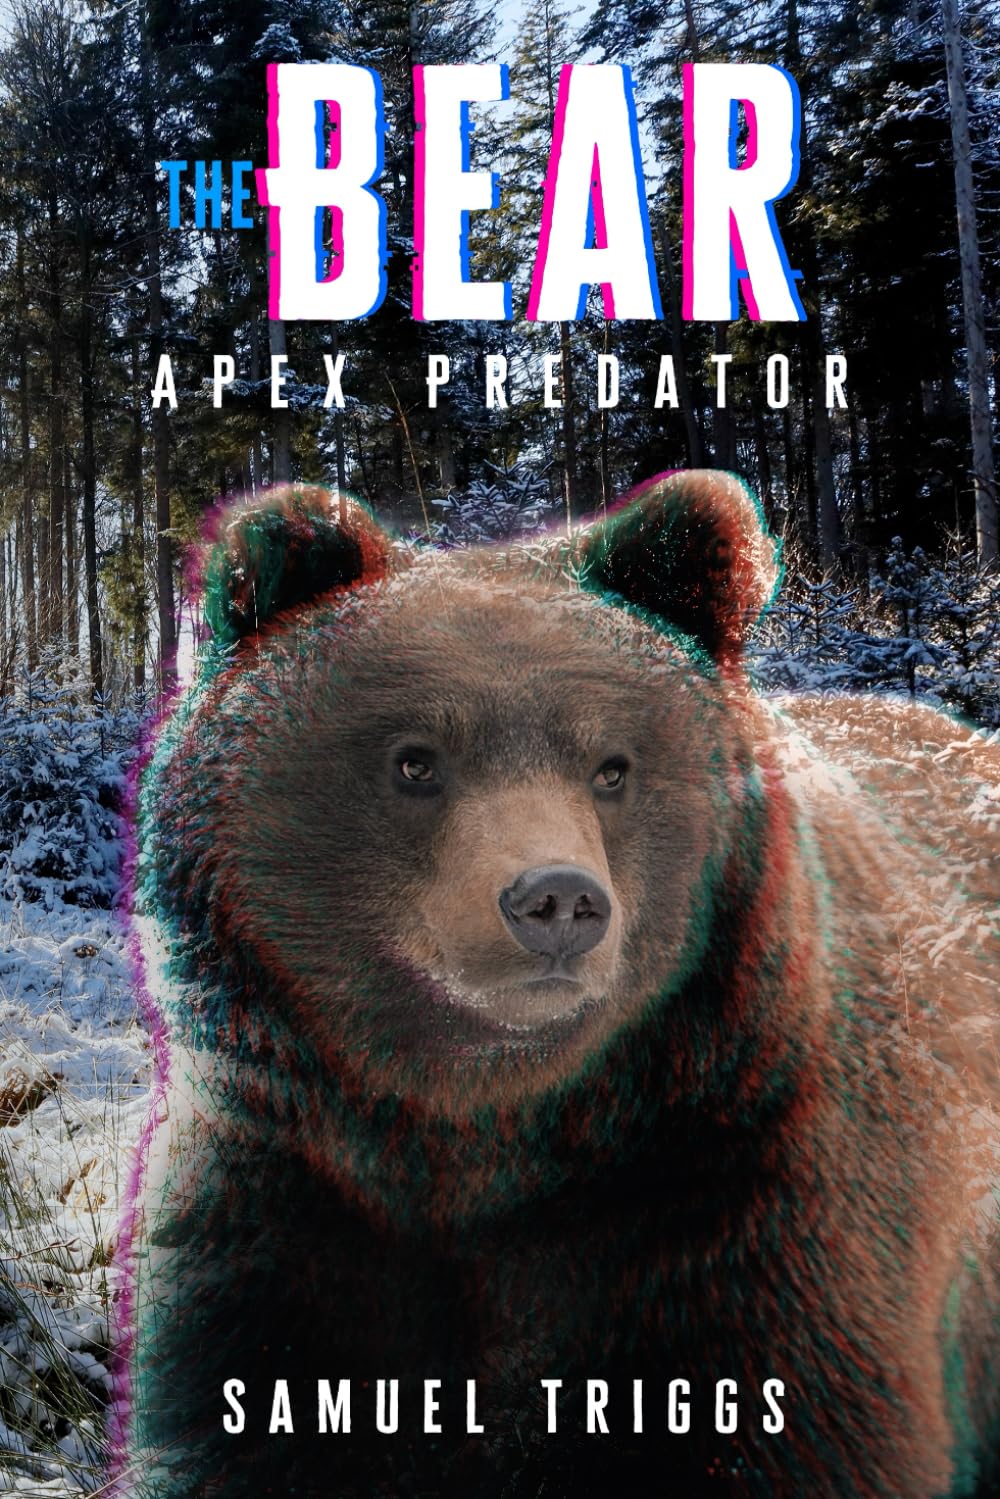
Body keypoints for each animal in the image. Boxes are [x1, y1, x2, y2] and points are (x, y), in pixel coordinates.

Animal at [112, 469, 1000, 1499]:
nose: (558, 899)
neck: (492, 1140)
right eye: (416, 759)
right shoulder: (287, 1201)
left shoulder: (745, 1204)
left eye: (612, 766)